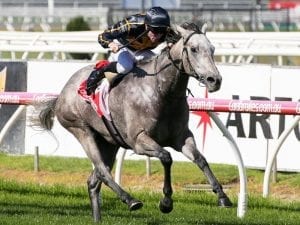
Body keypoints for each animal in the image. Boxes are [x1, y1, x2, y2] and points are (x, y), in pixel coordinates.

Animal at [31, 23, 232, 221]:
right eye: (194, 49)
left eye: (212, 49)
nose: (215, 80)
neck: (162, 91)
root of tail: (61, 94)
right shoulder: (138, 141)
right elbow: (166, 157)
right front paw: (166, 202)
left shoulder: (181, 137)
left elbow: (201, 159)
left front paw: (222, 197)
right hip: (81, 130)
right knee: (102, 171)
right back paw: (130, 200)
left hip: (109, 142)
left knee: (94, 181)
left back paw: (99, 218)